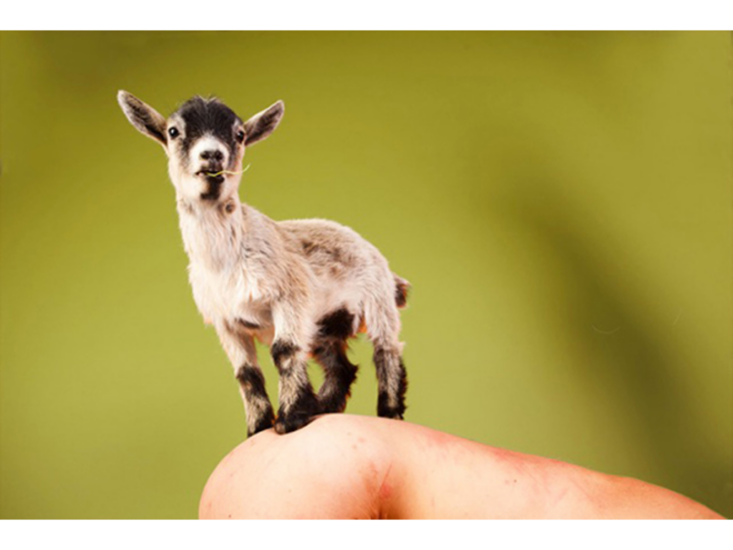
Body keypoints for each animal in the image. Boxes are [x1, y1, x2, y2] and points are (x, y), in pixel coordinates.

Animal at [117, 91, 409, 436]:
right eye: (173, 131)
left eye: (240, 134)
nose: (212, 155)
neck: (225, 262)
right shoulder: (226, 322)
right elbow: (246, 372)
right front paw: (258, 427)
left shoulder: (289, 296)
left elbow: (284, 350)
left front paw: (289, 419)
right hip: (324, 326)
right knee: (342, 366)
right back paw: (323, 406)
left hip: (378, 302)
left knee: (386, 350)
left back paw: (388, 412)